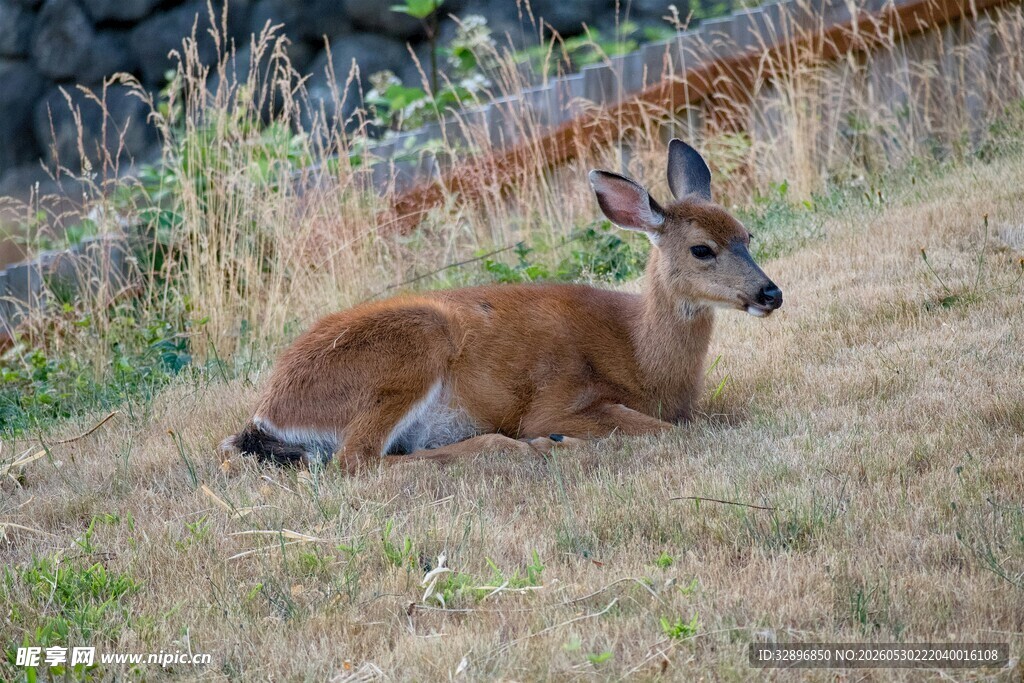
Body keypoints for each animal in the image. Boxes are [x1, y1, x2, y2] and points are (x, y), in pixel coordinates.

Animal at [221, 140, 783, 472]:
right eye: (702, 249)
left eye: (747, 234)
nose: (770, 293)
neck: (642, 357)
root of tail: (269, 411)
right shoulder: (557, 398)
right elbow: (667, 429)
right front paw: (557, 439)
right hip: (414, 344)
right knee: (357, 461)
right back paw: (531, 447)